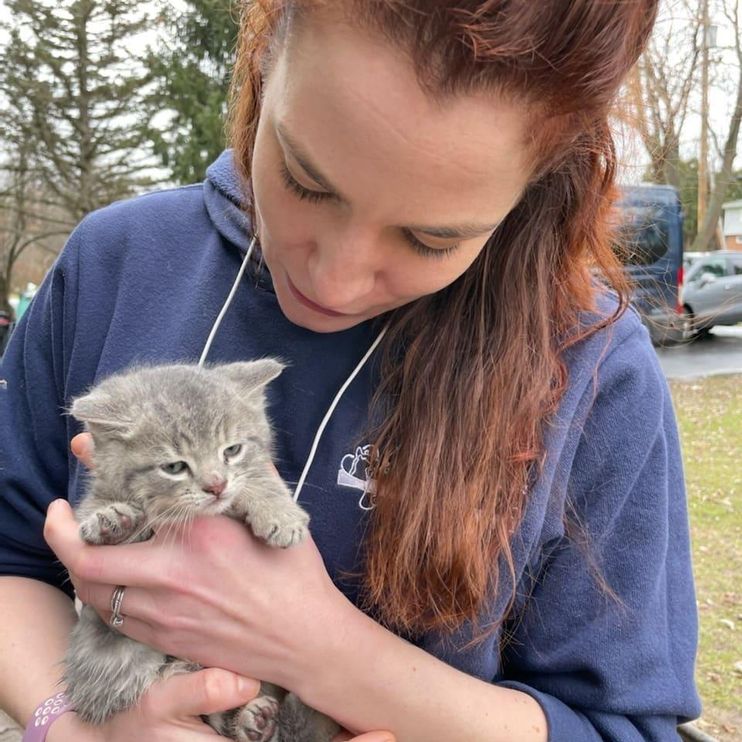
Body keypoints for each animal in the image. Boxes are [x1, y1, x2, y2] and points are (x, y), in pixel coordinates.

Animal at [64, 362, 342, 742]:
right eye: (174, 467)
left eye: (232, 450)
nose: (216, 485)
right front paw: (111, 522)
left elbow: (257, 477)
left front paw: (280, 513)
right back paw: (253, 722)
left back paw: (257, 722)